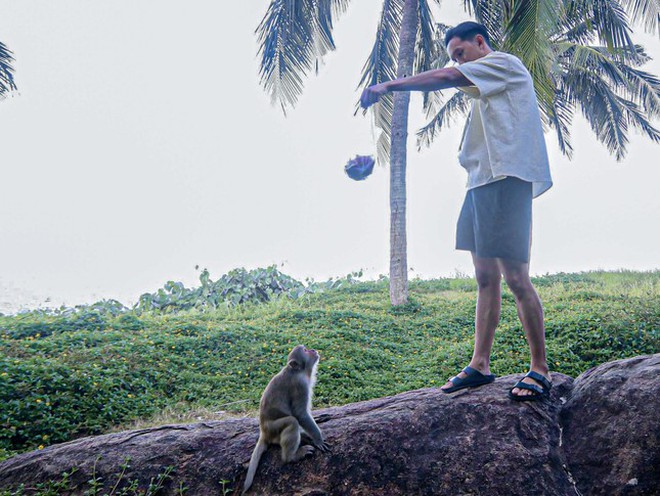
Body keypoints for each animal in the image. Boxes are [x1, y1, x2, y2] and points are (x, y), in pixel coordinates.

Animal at [242, 344, 330, 492]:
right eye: (305, 351)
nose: (312, 350)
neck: (299, 371)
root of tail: (264, 432)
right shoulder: (300, 385)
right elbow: (300, 413)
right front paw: (318, 439)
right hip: (274, 430)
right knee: (292, 422)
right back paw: (292, 457)